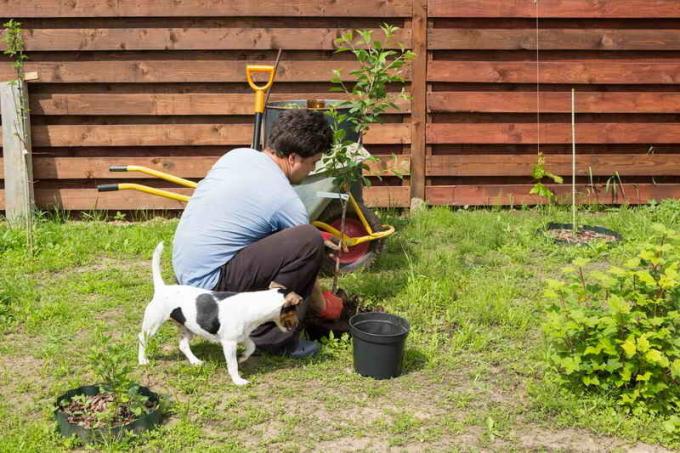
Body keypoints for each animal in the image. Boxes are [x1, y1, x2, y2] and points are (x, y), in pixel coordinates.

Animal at [138, 242, 302, 384]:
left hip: (188, 328)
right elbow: (233, 365)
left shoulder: (242, 336)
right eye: (295, 309)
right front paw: (238, 381)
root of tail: (162, 288)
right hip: (153, 324)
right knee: (142, 337)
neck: (255, 305)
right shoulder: (229, 343)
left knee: (183, 345)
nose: (298, 323)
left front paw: (242, 357)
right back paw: (142, 360)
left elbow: (252, 346)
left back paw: (195, 361)